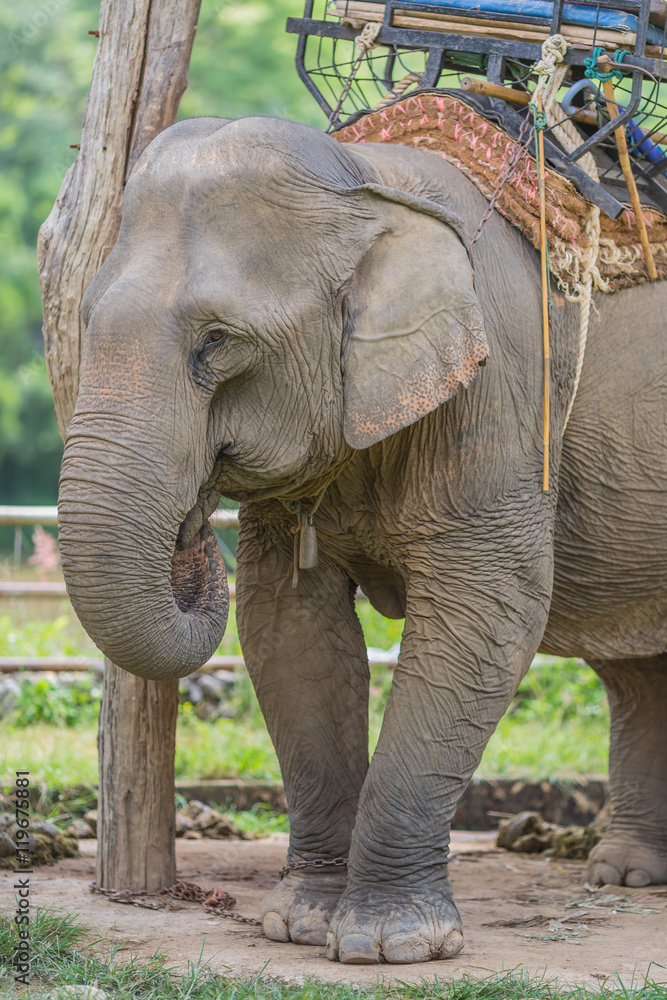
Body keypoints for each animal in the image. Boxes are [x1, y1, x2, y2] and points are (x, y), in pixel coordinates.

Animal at [57, 114, 667, 965]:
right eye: (82, 321)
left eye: (216, 342)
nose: (192, 520)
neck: (367, 181)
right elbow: (288, 629)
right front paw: (299, 924)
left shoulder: (497, 392)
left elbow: (486, 613)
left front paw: (390, 945)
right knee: (636, 670)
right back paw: (627, 877)